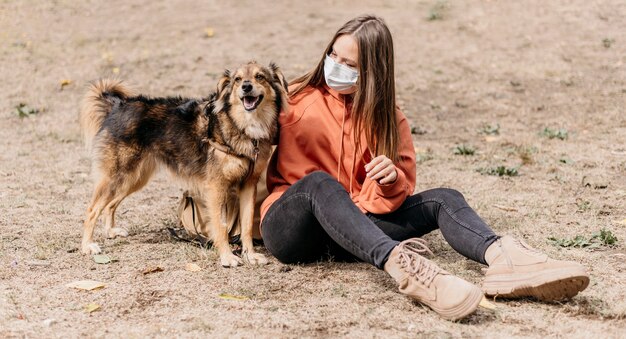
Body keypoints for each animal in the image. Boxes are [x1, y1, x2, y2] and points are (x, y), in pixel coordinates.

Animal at [77, 61, 288, 268]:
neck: (242, 125)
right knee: (92, 209)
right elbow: (220, 226)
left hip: (133, 178)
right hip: (117, 176)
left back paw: (110, 231)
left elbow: (246, 226)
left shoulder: (248, 185)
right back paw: (88, 246)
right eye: (237, 79)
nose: (246, 87)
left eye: (259, 76)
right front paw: (227, 257)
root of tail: (118, 105)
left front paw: (250, 255)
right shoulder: (216, 188)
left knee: (110, 205)